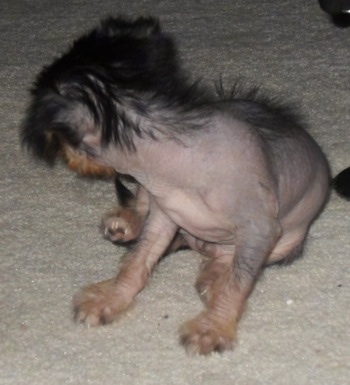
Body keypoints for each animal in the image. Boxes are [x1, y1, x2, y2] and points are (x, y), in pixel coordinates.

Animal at [21, 17, 330, 354]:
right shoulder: (164, 216)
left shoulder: (260, 229)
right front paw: (111, 298)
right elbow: (138, 260)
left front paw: (213, 326)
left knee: (227, 260)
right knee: (142, 213)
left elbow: (238, 281)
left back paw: (213, 278)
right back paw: (126, 223)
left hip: (285, 242)